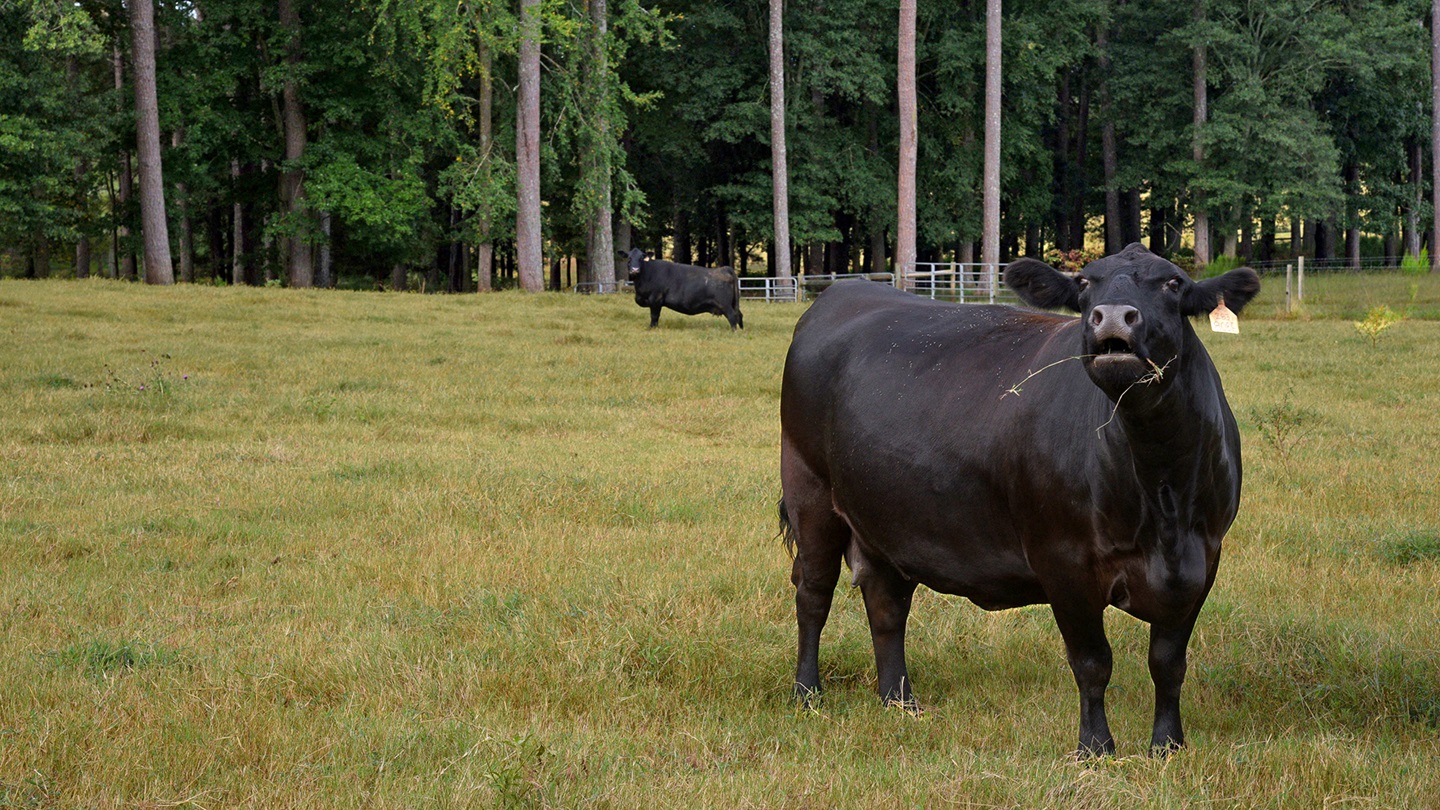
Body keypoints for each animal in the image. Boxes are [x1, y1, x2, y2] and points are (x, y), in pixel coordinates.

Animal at [778, 243, 1260, 756]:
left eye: (1173, 283)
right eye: (1085, 282)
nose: (1112, 317)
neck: (1162, 490)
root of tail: (844, 292)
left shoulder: (1203, 560)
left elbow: (1168, 662)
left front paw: (1168, 746)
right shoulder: (1063, 561)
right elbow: (1093, 661)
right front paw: (1096, 748)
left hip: (887, 516)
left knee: (887, 605)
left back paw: (899, 701)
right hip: (809, 489)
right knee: (813, 595)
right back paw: (807, 693)